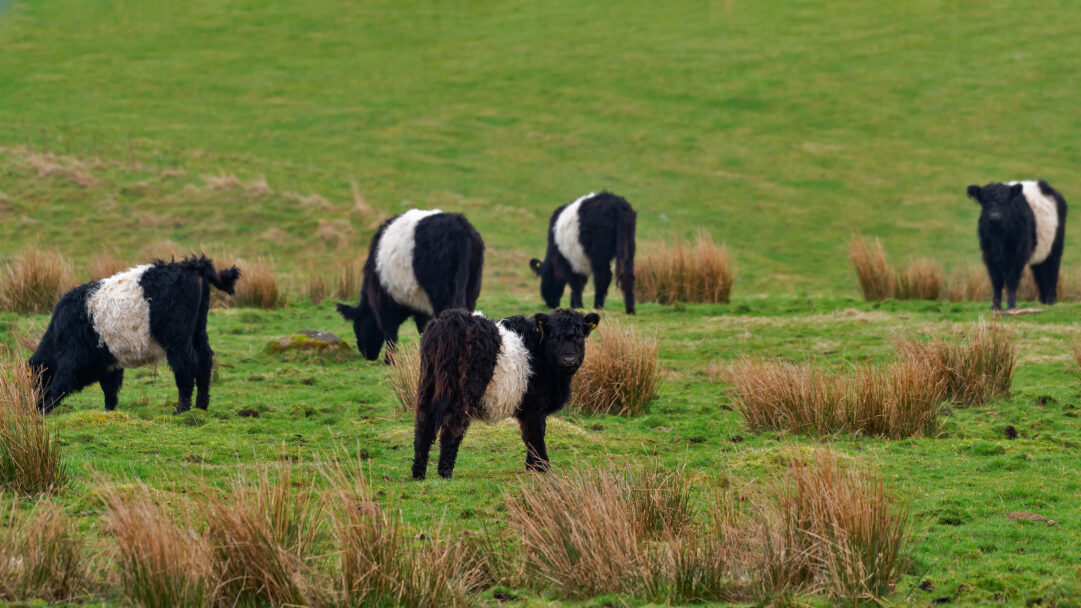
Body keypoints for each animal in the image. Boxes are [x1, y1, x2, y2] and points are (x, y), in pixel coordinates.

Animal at [29, 256, 240, 414]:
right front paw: (109, 411)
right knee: (205, 361)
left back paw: (181, 410)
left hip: (176, 339)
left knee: (187, 366)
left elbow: (60, 385)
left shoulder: (72, 359)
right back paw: (201, 407)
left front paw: (44, 410)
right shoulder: (109, 363)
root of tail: (191, 265)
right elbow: (110, 390)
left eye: (36, 380)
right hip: (198, 331)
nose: (33, 405)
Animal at [337, 210, 484, 362]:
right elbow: (422, 329)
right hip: (472, 285)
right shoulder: (421, 306)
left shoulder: (384, 303)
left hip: (441, 292)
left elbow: (390, 332)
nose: (367, 354)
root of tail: (459, 226)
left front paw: (389, 361)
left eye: (356, 327)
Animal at [411, 308, 600, 480]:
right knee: (452, 426)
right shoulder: (535, 407)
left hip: (427, 385)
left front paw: (532, 467)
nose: (569, 360)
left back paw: (418, 473)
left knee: (423, 425)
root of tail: (451, 319)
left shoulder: (528, 409)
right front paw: (544, 468)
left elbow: (530, 436)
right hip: (461, 392)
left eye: (579, 337)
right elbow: (536, 435)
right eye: (554, 337)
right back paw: (445, 473)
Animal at [967, 180, 1067, 309]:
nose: (995, 217)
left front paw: (1011, 305)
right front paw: (995, 305)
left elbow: (1011, 279)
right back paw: (1043, 300)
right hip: (1040, 251)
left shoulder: (1017, 256)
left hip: (1055, 247)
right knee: (1040, 273)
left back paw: (1051, 300)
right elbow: (996, 280)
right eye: (984, 202)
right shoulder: (989, 256)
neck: (998, 238)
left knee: (1052, 270)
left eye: (1005, 201)